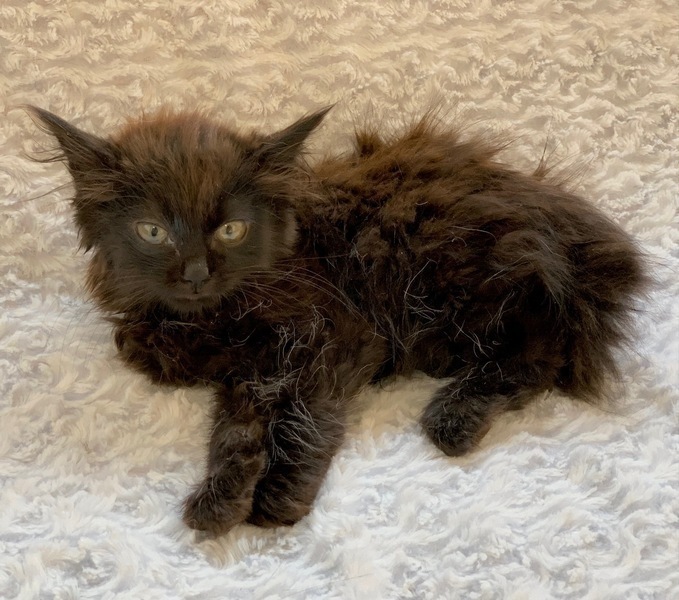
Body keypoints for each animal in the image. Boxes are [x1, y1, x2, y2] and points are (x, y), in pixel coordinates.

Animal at [28, 104, 647, 536]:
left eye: (231, 229)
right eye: (153, 231)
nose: (197, 272)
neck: (210, 315)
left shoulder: (333, 335)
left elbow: (303, 418)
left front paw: (278, 497)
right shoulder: (246, 371)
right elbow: (237, 433)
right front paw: (226, 498)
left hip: (465, 280)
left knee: (540, 354)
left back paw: (453, 420)